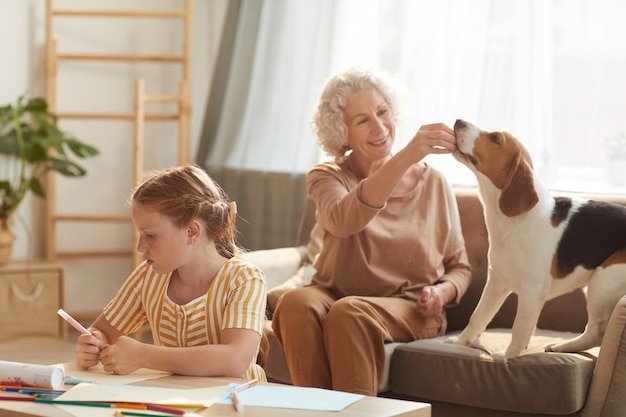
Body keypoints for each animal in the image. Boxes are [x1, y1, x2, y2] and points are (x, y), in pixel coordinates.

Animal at [446, 119, 624, 358]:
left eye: (495, 139)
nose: (459, 121)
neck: (512, 223)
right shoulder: (496, 283)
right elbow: (478, 317)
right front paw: (460, 342)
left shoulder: (531, 293)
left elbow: (520, 327)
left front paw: (508, 356)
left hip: (604, 279)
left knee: (596, 331)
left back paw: (563, 346)